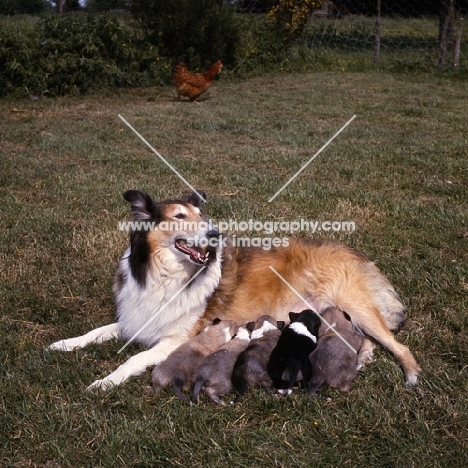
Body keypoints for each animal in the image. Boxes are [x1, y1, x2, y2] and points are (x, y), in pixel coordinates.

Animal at [47, 188, 420, 390]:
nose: (216, 233)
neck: (165, 273)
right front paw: (63, 344)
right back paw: (364, 356)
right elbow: (97, 331)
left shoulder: (176, 338)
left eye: (202, 215)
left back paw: (412, 375)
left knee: (396, 343)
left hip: (355, 305)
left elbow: (134, 358)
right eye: (179, 216)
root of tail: (355, 253)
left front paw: (104, 382)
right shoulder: (135, 317)